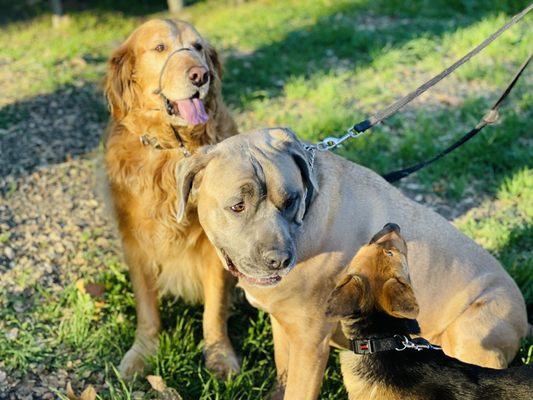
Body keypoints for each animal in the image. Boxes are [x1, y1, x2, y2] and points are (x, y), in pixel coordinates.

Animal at [104, 18, 237, 378]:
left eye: (198, 47)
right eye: (160, 48)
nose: (200, 76)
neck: (173, 150)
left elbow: (214, 309)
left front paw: (219, 356)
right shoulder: (136, 243)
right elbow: (147, 309)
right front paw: (142, 353)